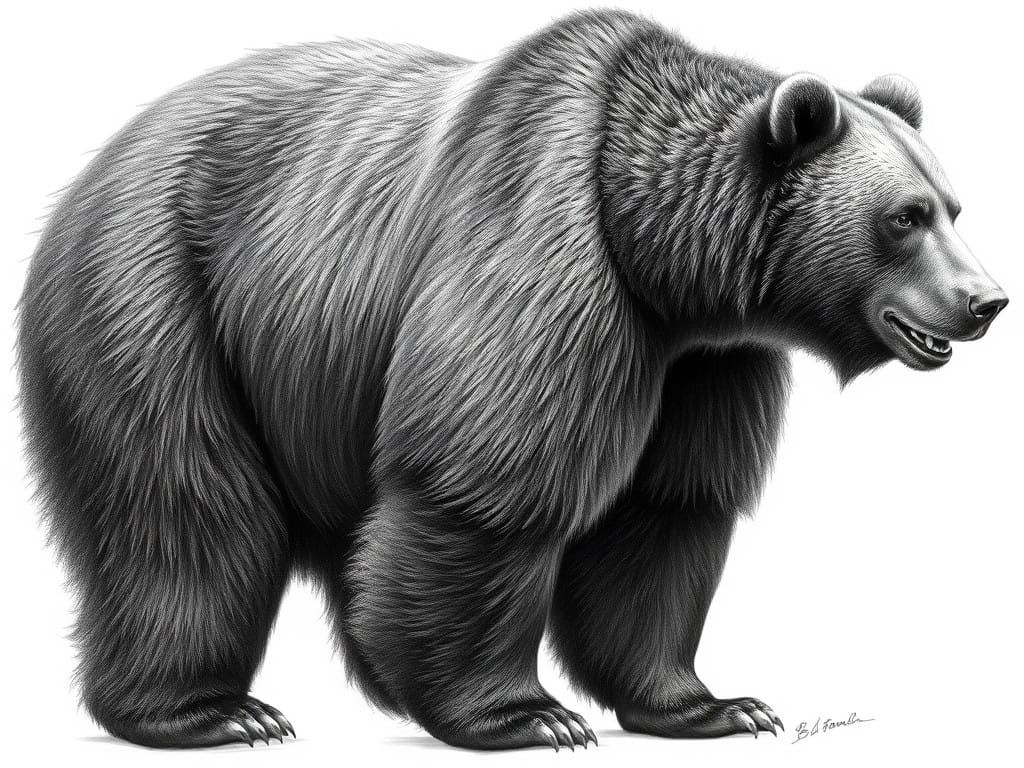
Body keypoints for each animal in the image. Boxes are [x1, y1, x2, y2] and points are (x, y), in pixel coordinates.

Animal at [17, 8, 1007, 752]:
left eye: (955, 207)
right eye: (906, 216)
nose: (987, 300)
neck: (662, 260)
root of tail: (101, 162)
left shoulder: (705, 364)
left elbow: (667, 511)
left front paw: (716, 705)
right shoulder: (545, 251)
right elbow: (490, 482)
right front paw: (528, 716)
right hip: (153, 295)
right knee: (187, 509)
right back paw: (214, 712)